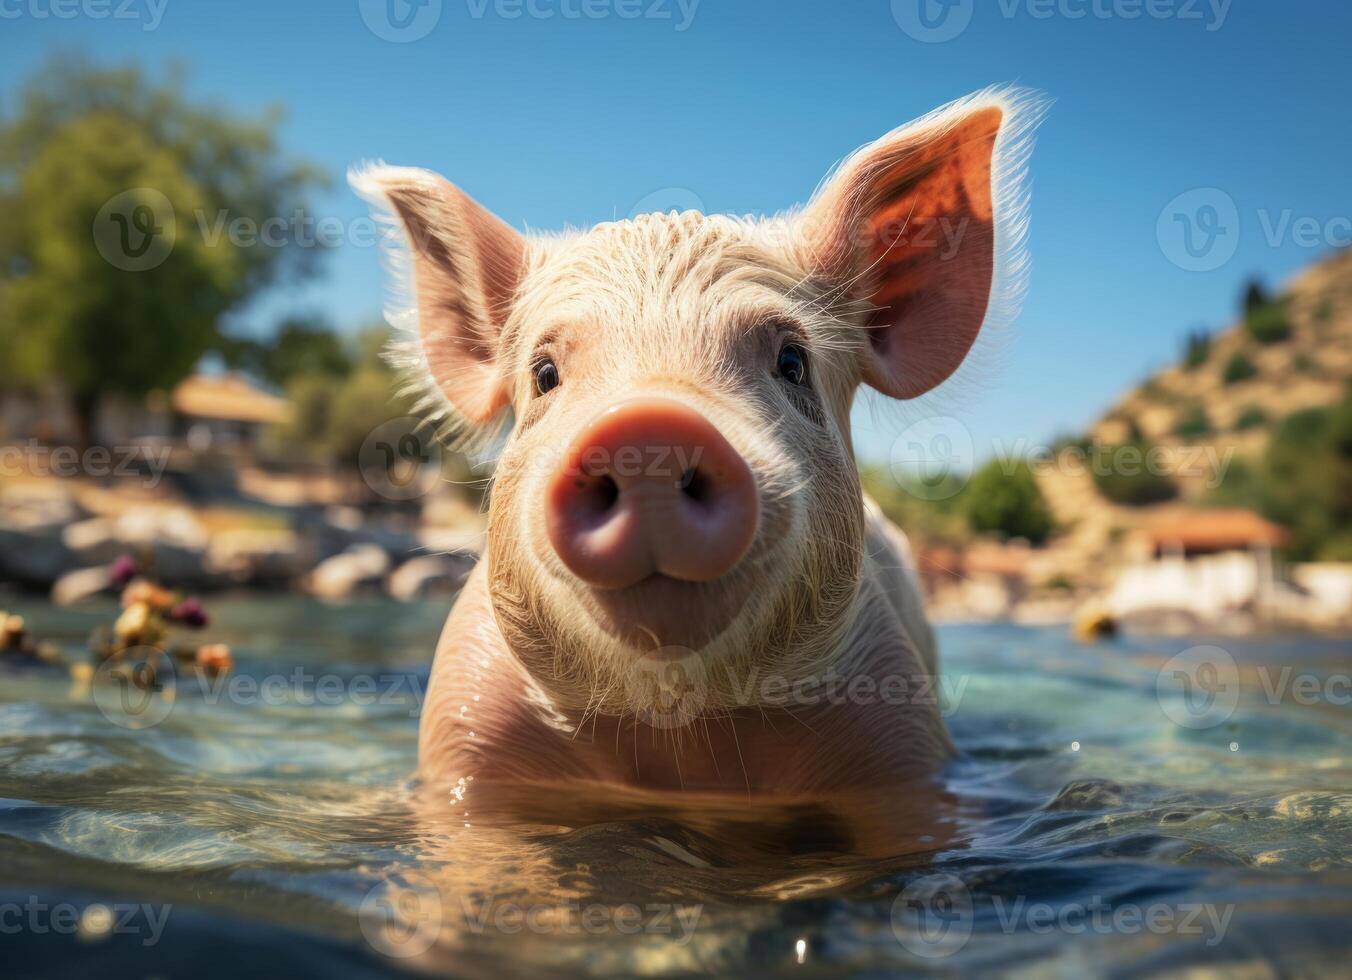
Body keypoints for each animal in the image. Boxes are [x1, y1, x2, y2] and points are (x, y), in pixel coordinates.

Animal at [354, 86, 1038, 800]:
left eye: (792, 361)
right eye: (544, 374)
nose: (649, 424)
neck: (681, 741)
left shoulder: (898, 724)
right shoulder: (466, 720)